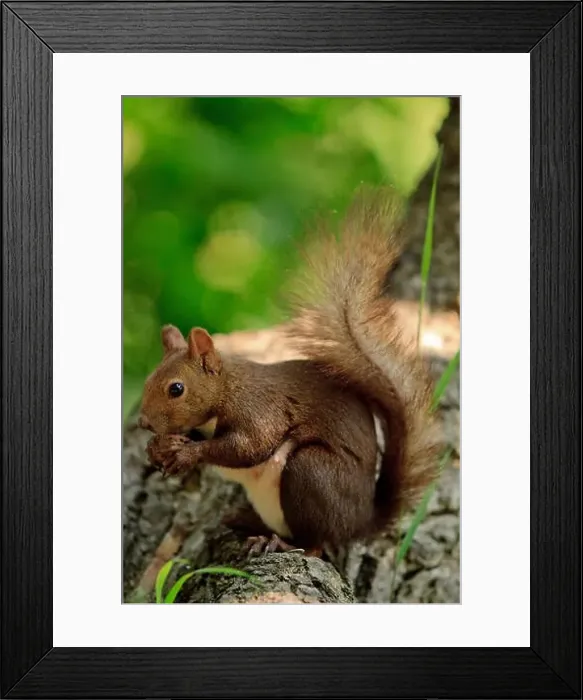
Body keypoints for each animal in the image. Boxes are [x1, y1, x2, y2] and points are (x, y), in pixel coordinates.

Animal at [139, 189, 442, 555]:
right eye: (148, 380)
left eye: (176, 389)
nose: (144, 422)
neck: (227, 388)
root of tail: (359, 522)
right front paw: (158, 448)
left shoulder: (259, 409)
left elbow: (248, 446)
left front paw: (186, 453)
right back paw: (247, 522)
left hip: (311, 472)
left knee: (315, 543)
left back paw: (277, 542)